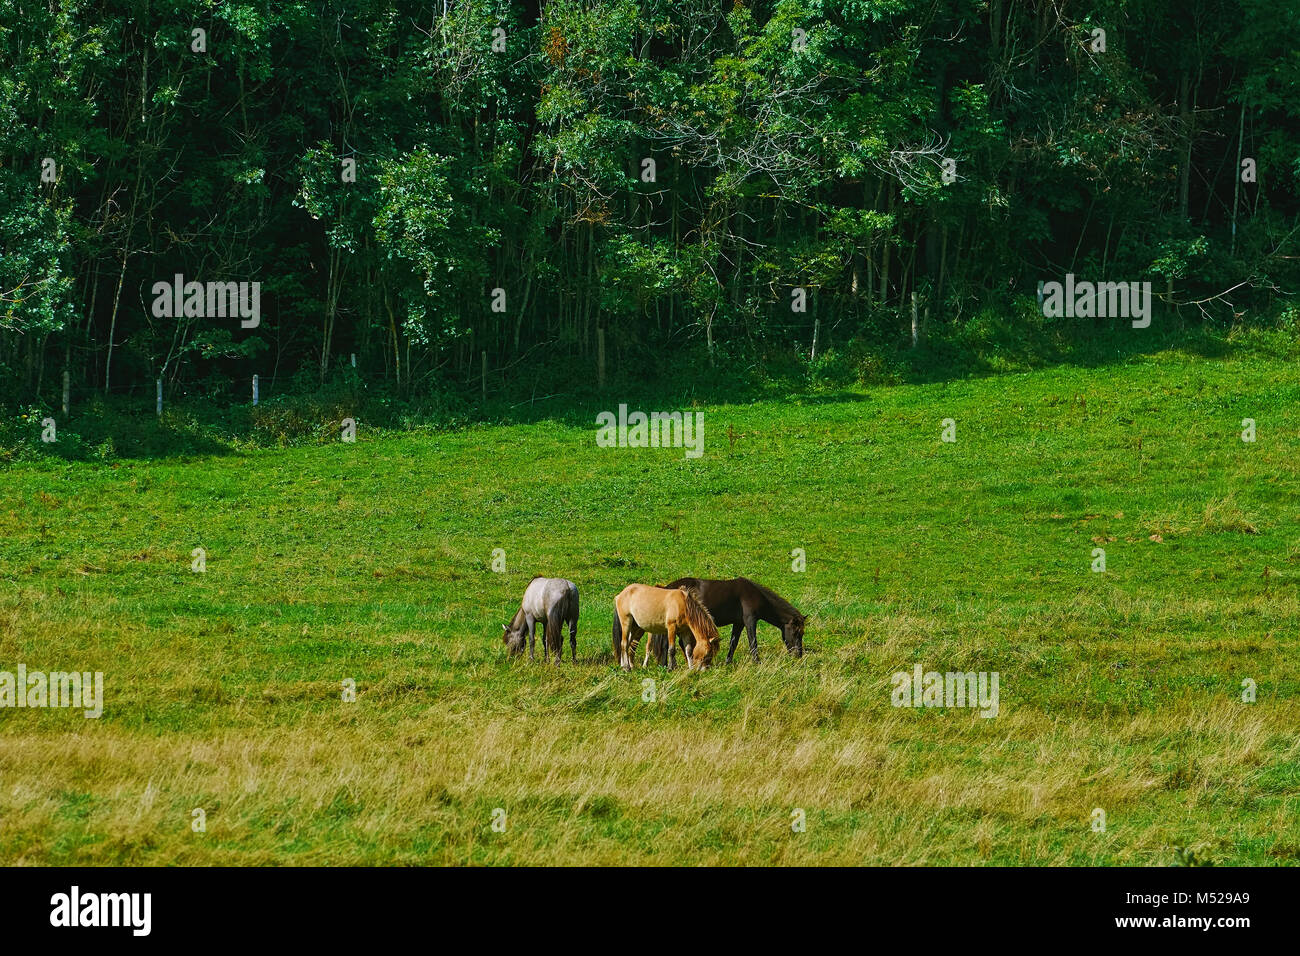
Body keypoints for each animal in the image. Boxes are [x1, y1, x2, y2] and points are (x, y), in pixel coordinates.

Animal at [629, 574, 800, 665]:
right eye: (797, 633)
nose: (799, 655)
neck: (754, 594)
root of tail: (667, 587)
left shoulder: (738, 623)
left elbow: (733, 643)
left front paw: (728, 662)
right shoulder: (750, 620)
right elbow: (753, 642)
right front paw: (757, 662)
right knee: (668, 644)